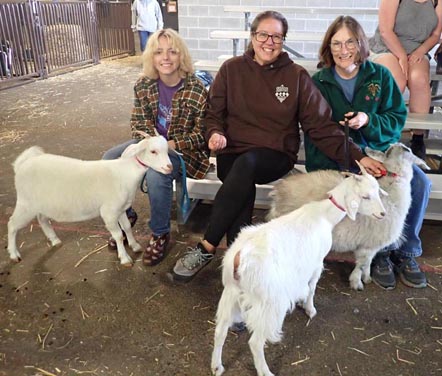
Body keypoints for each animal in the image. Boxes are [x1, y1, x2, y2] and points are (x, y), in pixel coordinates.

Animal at [7, 134, 173, 266]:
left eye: (167, 150)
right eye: (153, 151)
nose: (169, 167)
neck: (125, 173)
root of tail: (22, 164)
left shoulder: (120, 209)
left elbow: (126, 227)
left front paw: (135, 245)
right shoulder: (109, 212)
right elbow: (118, 235)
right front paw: (125, 258)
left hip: (41, 203)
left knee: (42, 219)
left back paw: (54, 240)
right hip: (26, 203)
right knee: (12, 224)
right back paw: (14, 254)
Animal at [212, 164, 386, 376]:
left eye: (377, 191)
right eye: (365, 196)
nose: (383, 214)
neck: (324, 215)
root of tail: (241, 258)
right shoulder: (316, 262)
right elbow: (311, 288)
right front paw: (310, 309)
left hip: (231, 292)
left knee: (220, 330)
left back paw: (217, 366)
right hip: (270, 301)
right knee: (255, 341)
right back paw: (265, 371)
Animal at [266, 142, 428, 290]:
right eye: (408, 150)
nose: (402, 146)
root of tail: (278, 191)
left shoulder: (371, 245)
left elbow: (368, 263)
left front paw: (367, 278)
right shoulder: (368, 245)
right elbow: (361, 264)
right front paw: (356, 283)